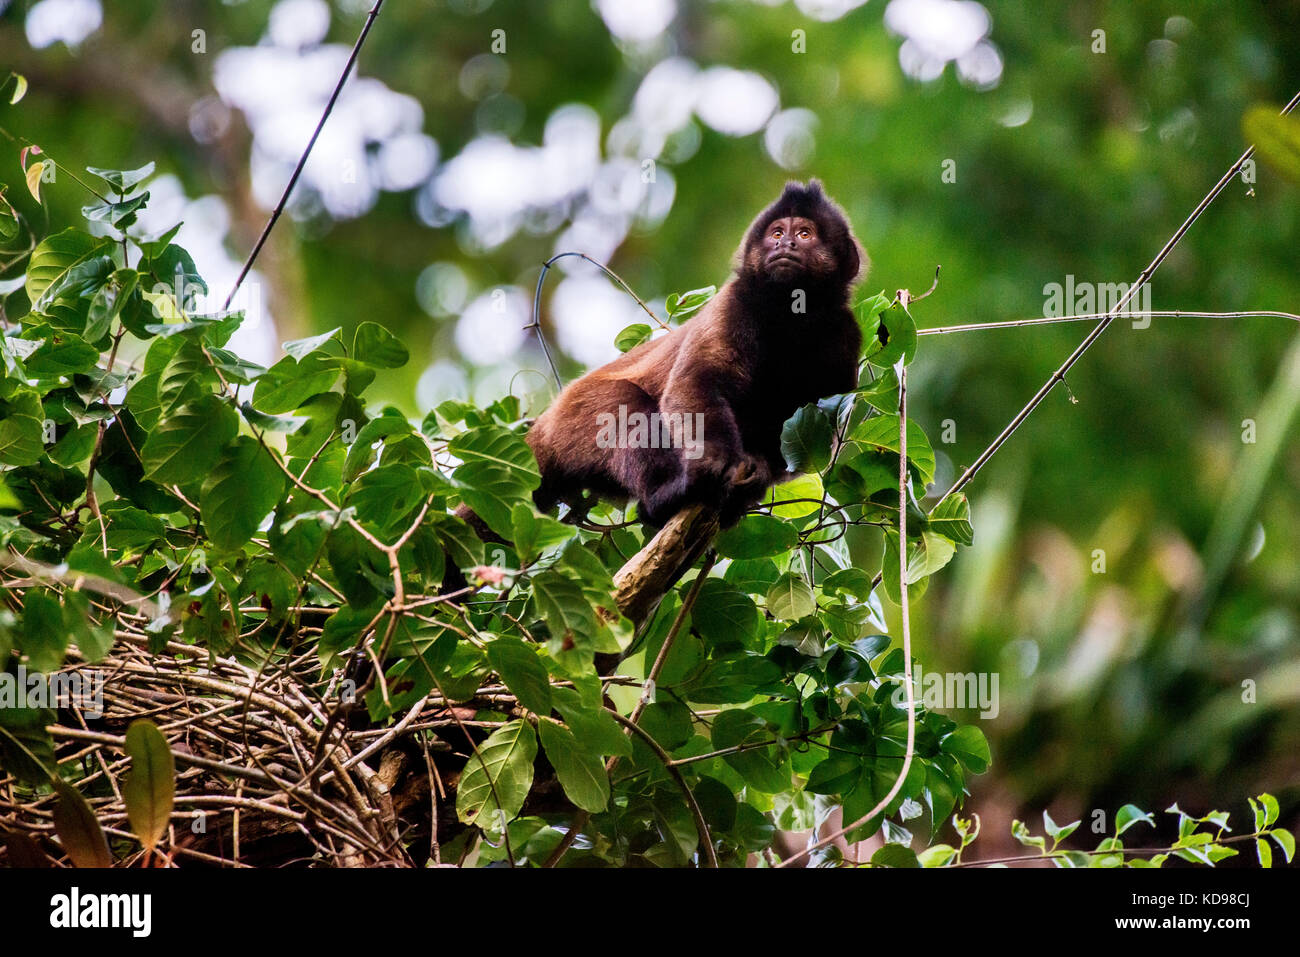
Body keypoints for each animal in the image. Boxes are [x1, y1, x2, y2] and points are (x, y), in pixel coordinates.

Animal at [522, 179, 868, 530]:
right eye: (777, 232)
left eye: (804, 234)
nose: (785, 243)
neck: (790, 316)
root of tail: (544, 426)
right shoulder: (733, 303)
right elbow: (696, 384)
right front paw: (717, 462)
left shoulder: (845, 336)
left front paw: (754, 480)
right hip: (575, 418)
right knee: (622, 405)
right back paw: (666, 496)